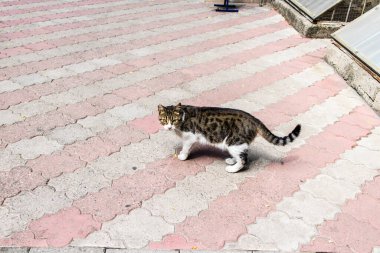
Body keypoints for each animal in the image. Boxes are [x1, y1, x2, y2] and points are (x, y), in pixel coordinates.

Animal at [157, 102, 300, 172]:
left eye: (173, 120)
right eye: (164, 120)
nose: (169, 127)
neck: (183, 117)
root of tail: (254, 119)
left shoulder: (190, 137)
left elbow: (186, 147)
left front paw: (182, 156)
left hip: (234, 142)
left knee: (243, 160)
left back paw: (232, 169)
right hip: (237, 145)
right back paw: (232, 160)